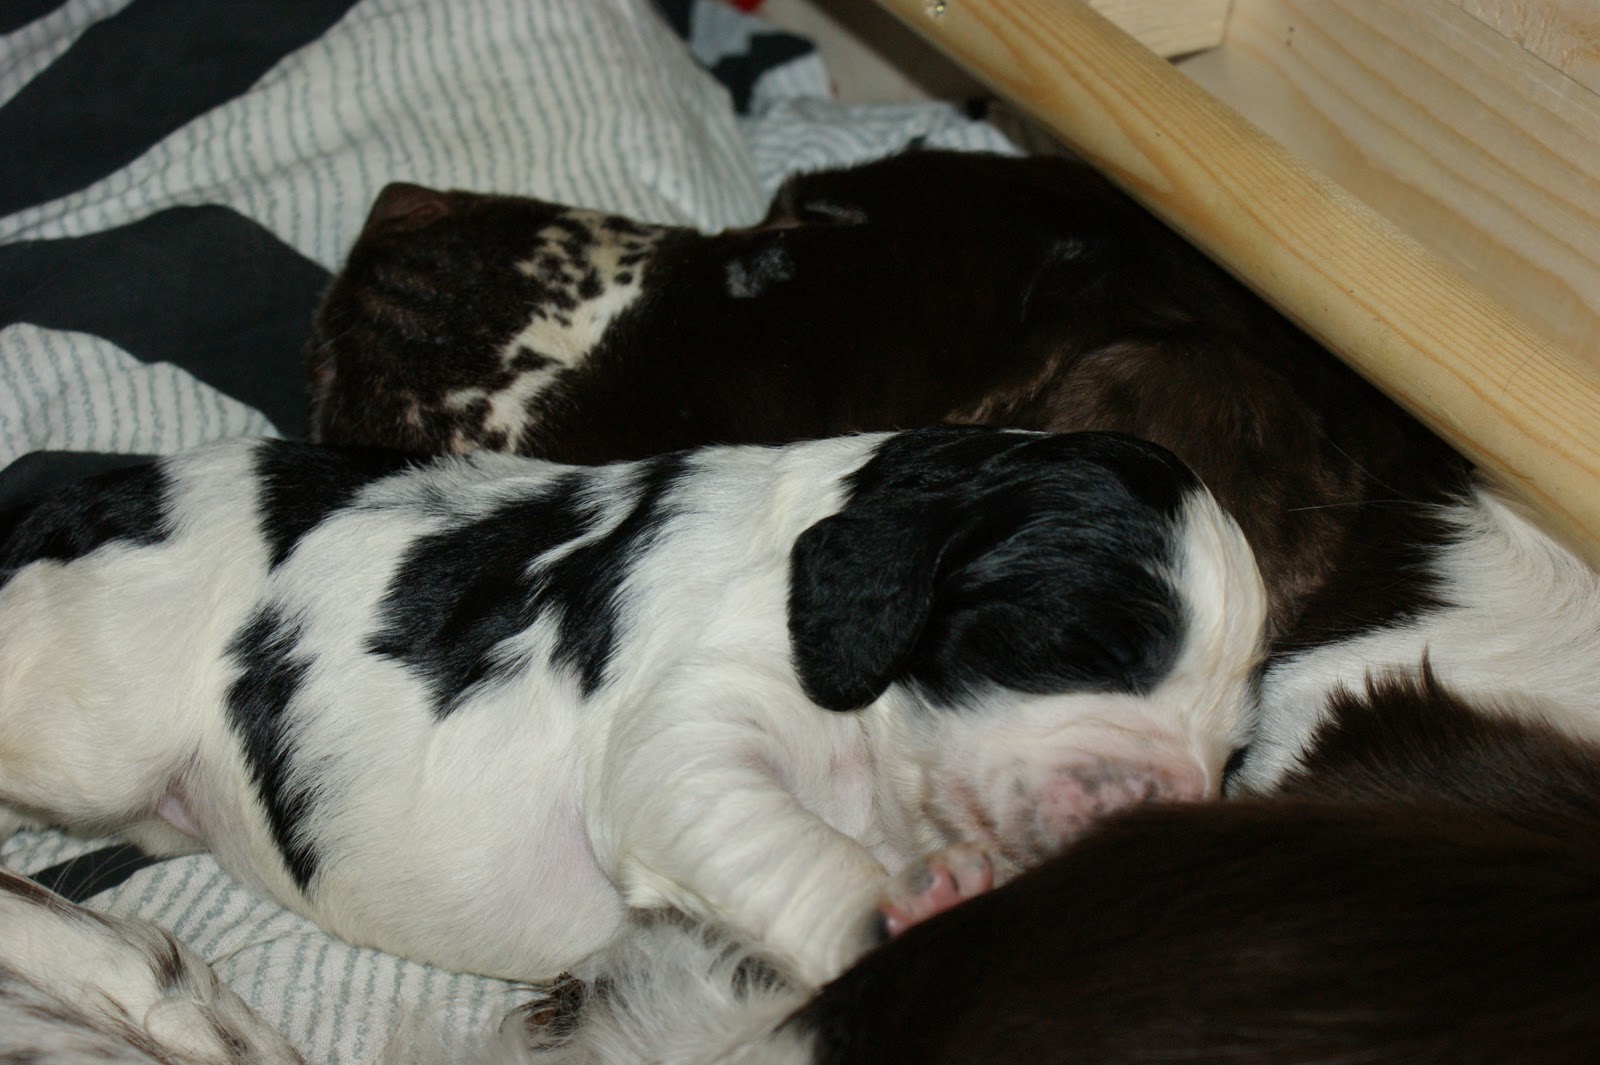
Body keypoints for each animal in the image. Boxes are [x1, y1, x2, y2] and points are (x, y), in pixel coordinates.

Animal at [0, 426, 1265, 986]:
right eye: (1088, 643)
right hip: (88, 721)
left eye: (1231, 746)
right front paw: (894, 914)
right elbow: (781, 839)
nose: (1162, 804)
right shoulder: (688, 729)